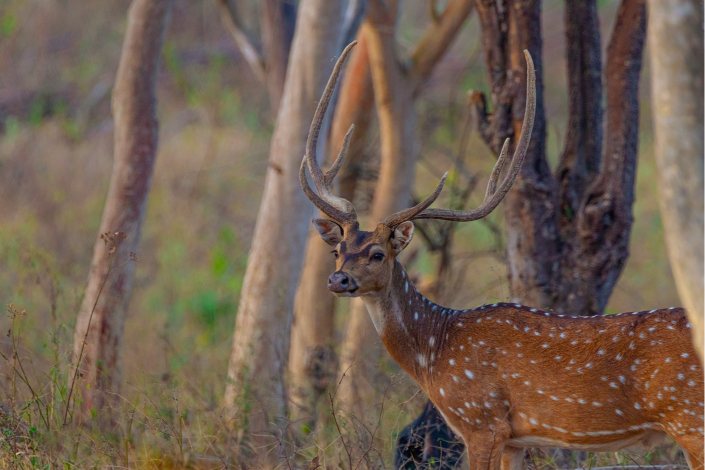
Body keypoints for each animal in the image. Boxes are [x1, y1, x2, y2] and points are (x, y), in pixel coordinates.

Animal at [300, 41, 700, 470]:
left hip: (690, 417)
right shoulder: (514, 438)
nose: (338, 279)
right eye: (338, 250)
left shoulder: (482, 420)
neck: (435, 351)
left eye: (377, 253)